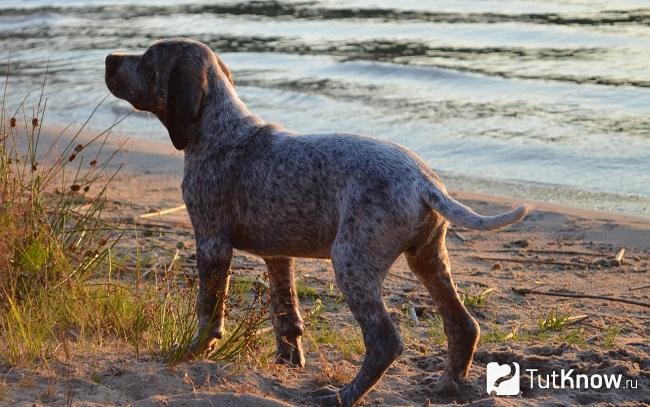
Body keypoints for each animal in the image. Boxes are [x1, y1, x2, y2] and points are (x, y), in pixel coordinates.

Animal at [104, 39, 524, 407]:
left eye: (147, 60)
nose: (109, 58)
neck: (219, 127)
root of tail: (425, 181)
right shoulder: (277, 255)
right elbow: (285, 313)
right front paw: (287, 362)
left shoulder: (211, 242)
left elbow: (208, 309)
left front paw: (194, 351)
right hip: (427, 259)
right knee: (463, 325)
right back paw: (448, 386)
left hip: (351, 262)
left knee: (385, 341)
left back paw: (343, 396)